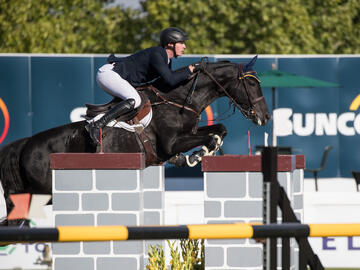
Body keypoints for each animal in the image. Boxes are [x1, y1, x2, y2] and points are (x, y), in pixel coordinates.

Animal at [0, 56, 270, 225]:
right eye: (252, 82)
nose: (265, 116)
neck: (179, 100)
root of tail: (23, 145)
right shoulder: (171, 143)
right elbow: (209, 136)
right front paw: (199, 153)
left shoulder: (186, 134)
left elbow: (220, 128)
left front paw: (195, 155)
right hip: (41, 195)